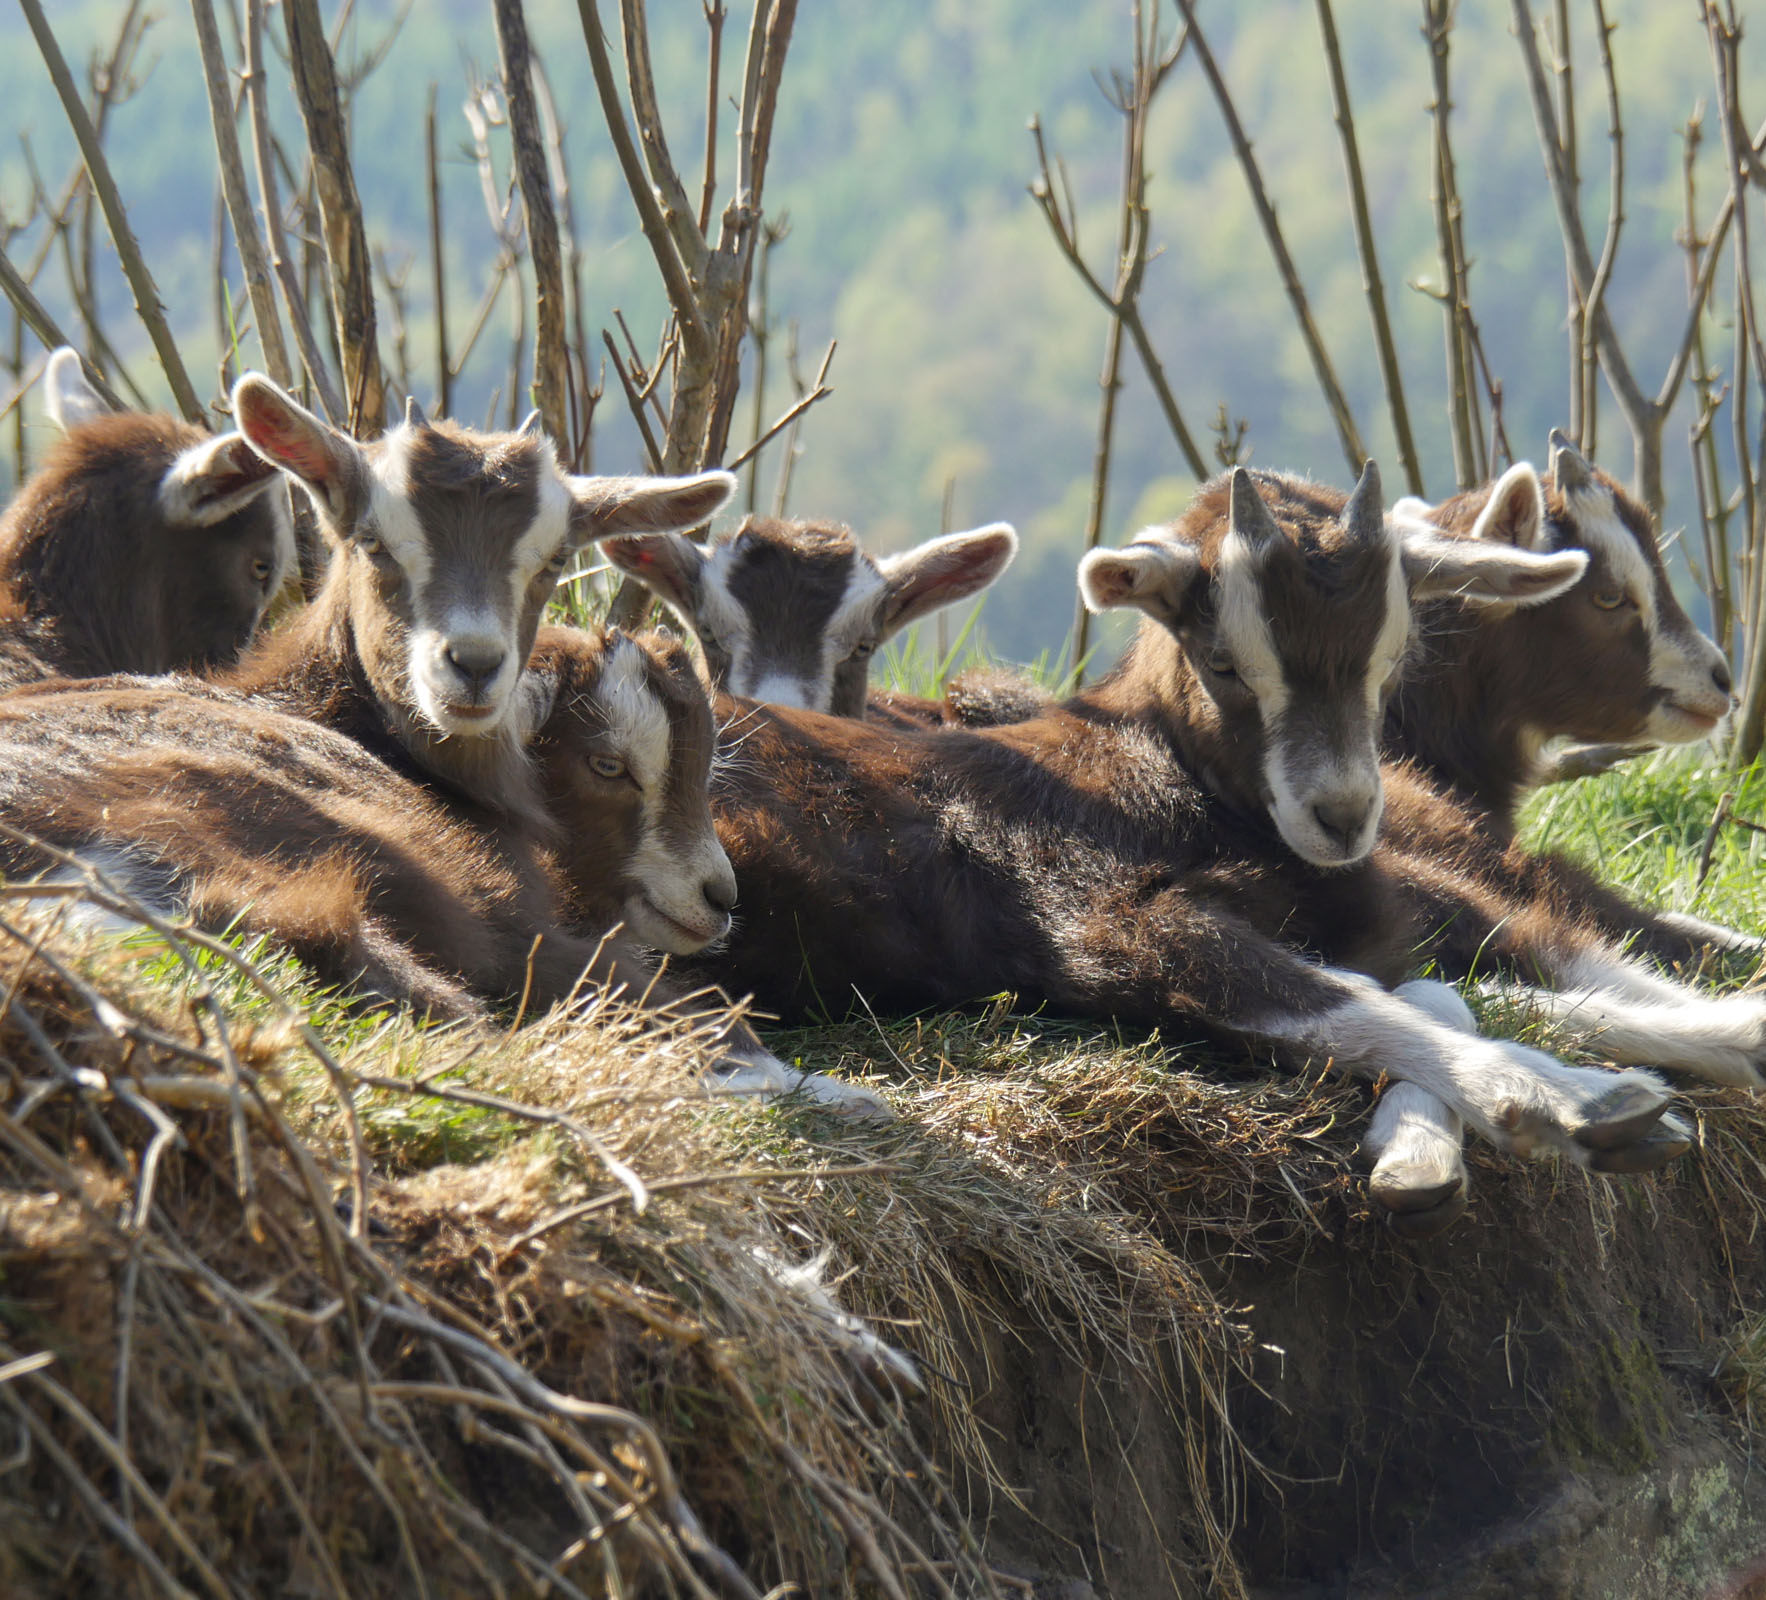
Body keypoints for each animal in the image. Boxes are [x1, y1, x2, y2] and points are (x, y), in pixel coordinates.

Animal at [681, 466, 1716, 1193]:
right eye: (1224, 662)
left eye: (1390, 657)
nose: (1343, 814)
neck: (1153, 774)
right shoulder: (1097, 913)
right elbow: (1345, 1003)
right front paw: (1570, 1102)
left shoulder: (1368, 914)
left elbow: (1430, 988)